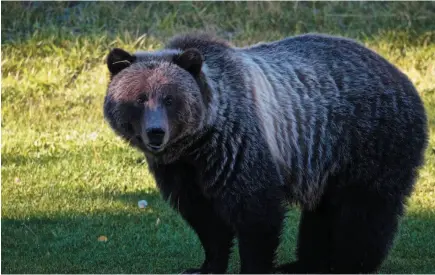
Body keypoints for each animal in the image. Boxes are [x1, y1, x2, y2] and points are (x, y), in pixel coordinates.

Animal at [103, 33, 430, 274]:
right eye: (140, 98)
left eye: (170, 99)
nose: (156, 132)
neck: (199, 143)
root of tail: (401, 75)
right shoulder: (183, 171)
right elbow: (205, 219)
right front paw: (205, 266)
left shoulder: (238, 147)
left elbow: (256, 211)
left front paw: (254, 266)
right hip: (327, 159)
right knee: (323, 211)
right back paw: (304, 263)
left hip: (370, 139)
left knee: (364, 209)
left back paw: (349, 264)